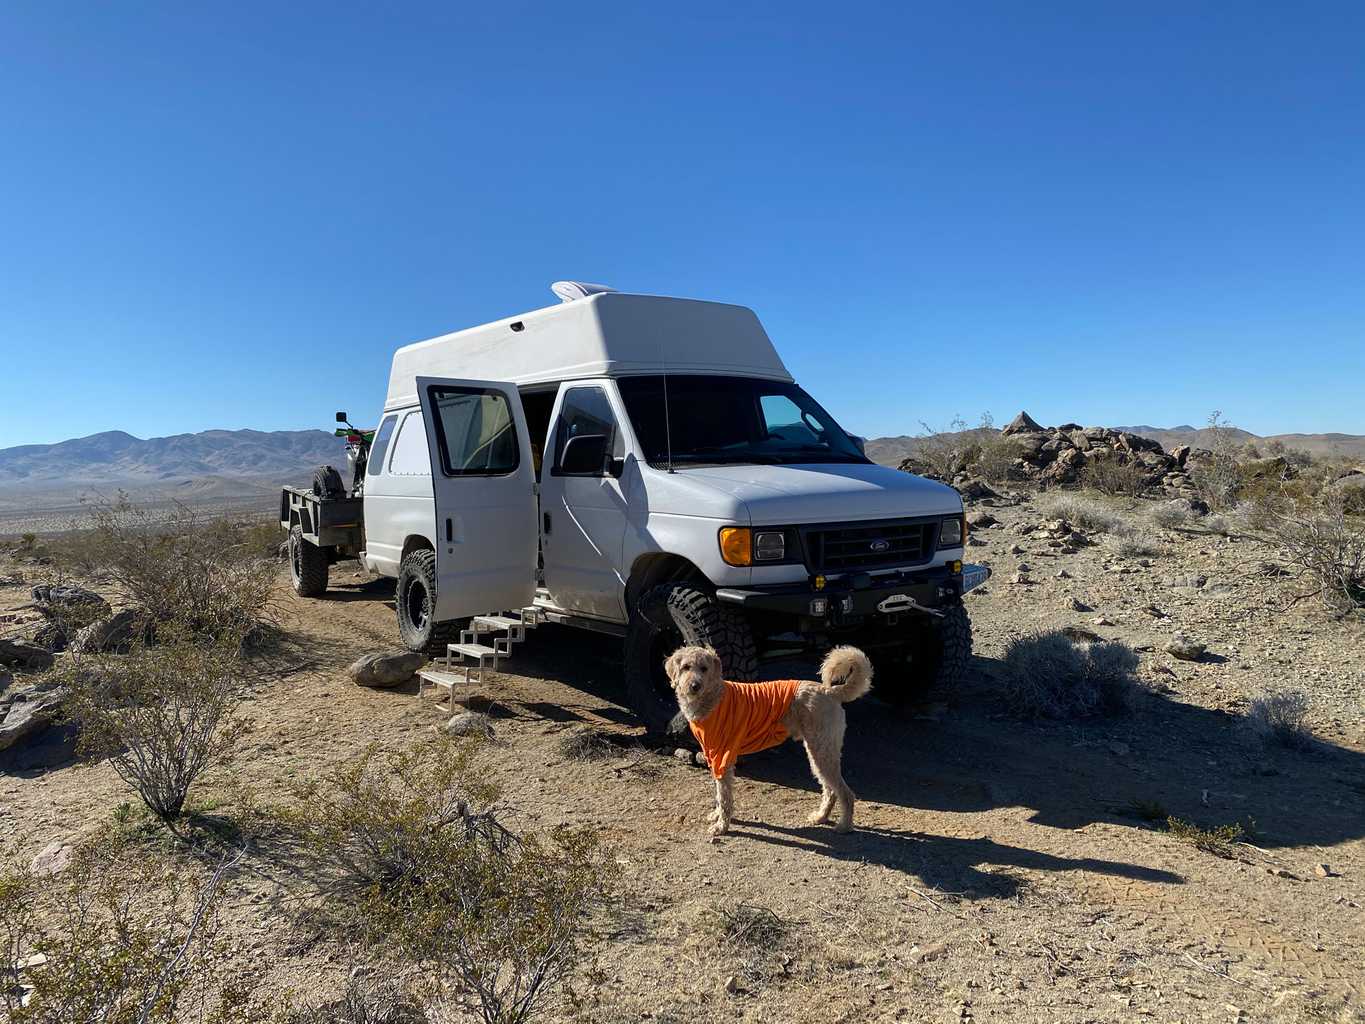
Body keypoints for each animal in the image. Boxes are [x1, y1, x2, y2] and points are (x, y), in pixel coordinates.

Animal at [663, 649, 873, 835]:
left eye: (704, 668)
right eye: (686, 667)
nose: (694, 685)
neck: (713, 697)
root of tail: (830, 691)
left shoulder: (722, 759)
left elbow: (724, 797)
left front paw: (721, 826)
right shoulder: (714, 758)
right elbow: (719, 793)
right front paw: (717, 816)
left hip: (822, 752)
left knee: (846, 794)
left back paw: (844, 826)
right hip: (818, 753)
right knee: (830, 790)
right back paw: (821, 817)